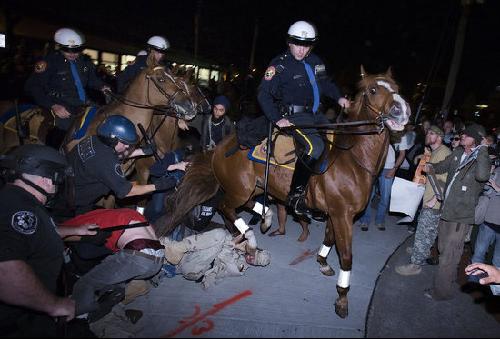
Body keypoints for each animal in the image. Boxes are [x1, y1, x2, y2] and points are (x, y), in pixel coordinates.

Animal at [155, 66, 410, 318]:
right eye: (373, 90)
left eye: (397, 88)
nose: (402, 110)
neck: (350, 159)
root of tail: (218, 147)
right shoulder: (342, 215)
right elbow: (346, 256)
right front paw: (342, 298)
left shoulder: (337, 214)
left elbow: (329, 239)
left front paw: (322, 261)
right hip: (240, 188)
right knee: (226, 207)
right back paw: (250, 238)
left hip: (253, 187)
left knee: (242, 206)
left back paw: (264, 219)